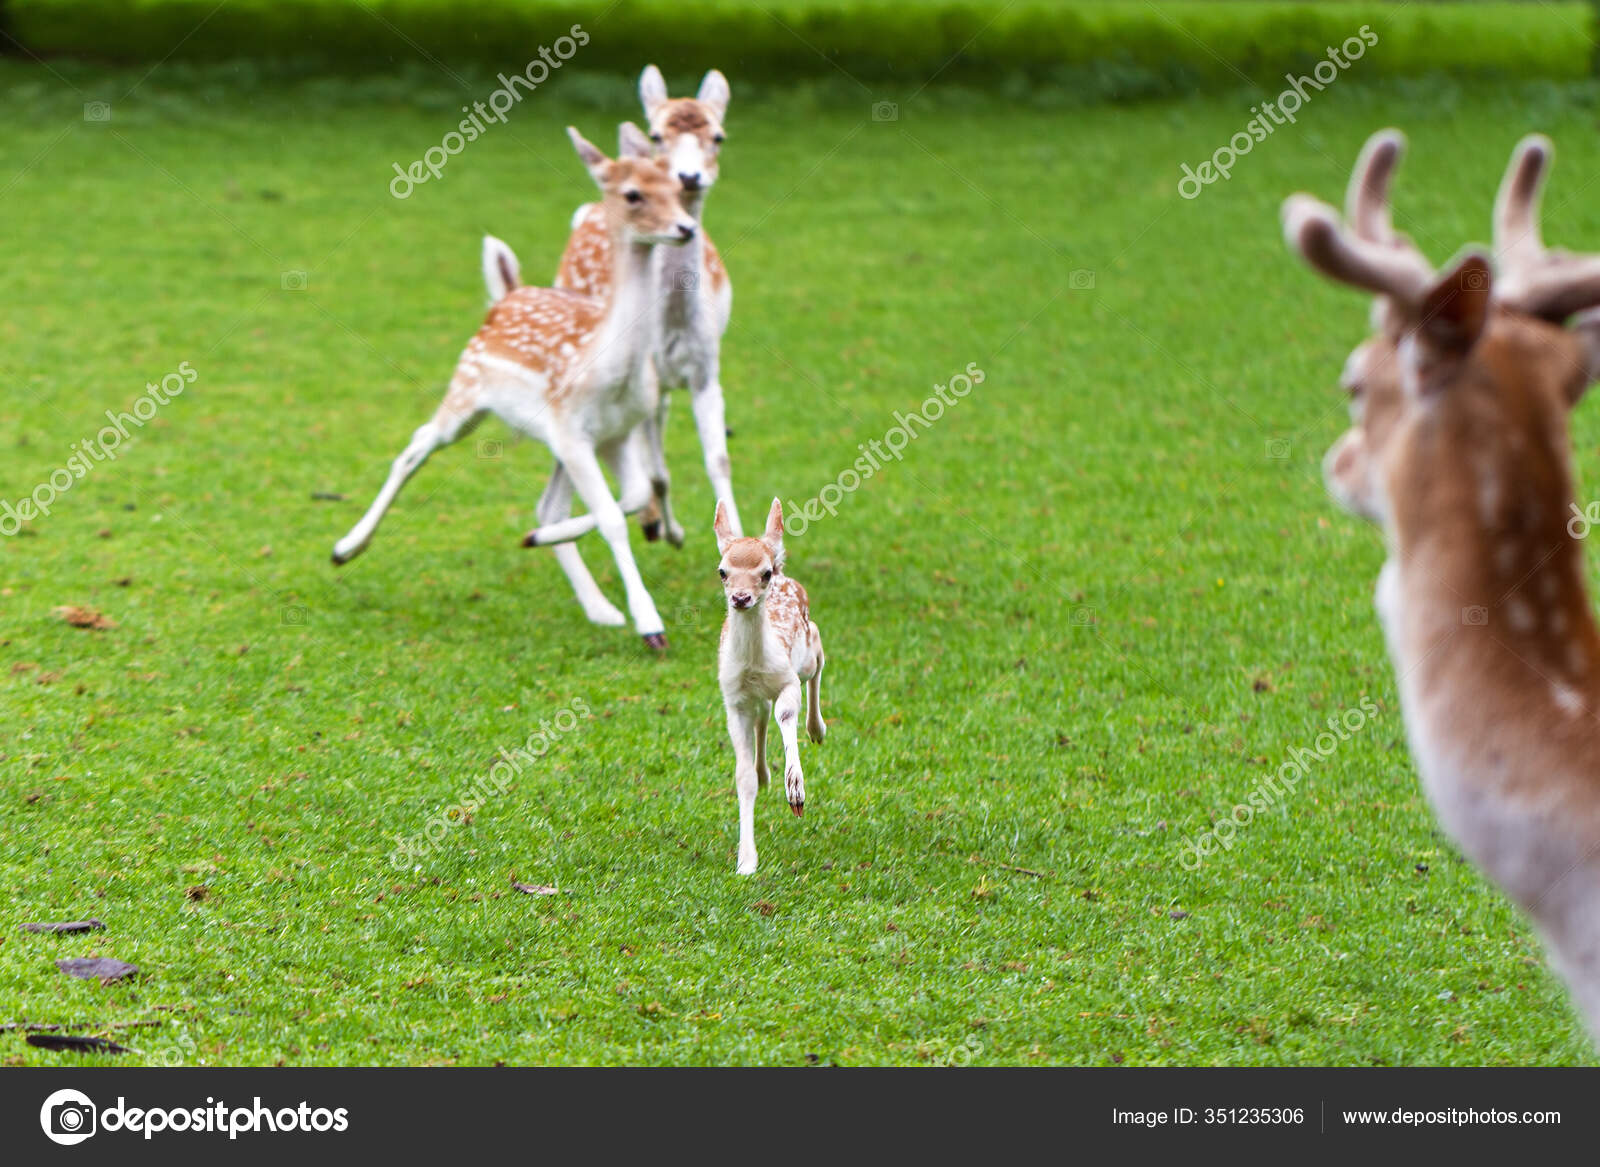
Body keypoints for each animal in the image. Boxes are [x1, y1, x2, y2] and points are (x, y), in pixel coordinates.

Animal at [331, 126, 698, 650]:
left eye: (676, 187)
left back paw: (597, 605)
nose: (685, 228)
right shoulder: (572, 431)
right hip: (466, 392)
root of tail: (505, 295)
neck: (613, 373)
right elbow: (612, 516)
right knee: (415, 446)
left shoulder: (615, 434)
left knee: (549, 506)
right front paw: (652, 627)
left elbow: (632, 498)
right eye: (633, 194)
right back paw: (344, 548)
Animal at [483, 65, 739, 552]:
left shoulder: (707, 368)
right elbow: (655, 472)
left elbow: (718, 460)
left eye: (718, 136)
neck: (673, 323)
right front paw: (663, 528)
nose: (688, 177)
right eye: (658, 134)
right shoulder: (636, 379)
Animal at [715, 498, 825, 874]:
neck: (754, 666)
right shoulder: (733, 699)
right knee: (762, 715)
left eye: (762, 573)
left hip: (806, 651)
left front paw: (796, 792)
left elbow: (786, 713)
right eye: (722, 571)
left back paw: (817, 728)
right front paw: (746, 862)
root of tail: (785, 571)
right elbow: (742, 777)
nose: (741, 597)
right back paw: (764, 773)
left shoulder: (787, 680)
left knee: (819, 656)